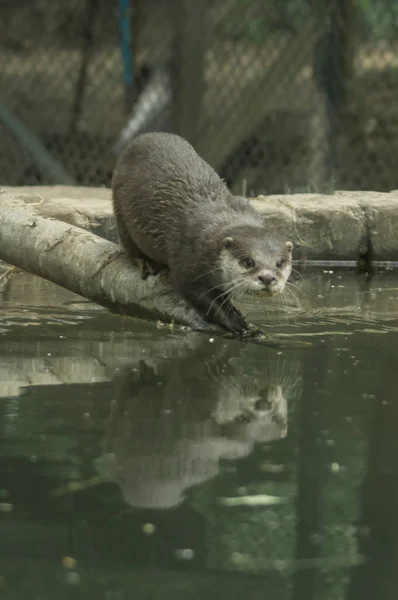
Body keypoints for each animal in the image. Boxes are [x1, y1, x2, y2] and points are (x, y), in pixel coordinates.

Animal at [112, 132, 292, 338]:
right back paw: (148, 264)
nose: (268, 278)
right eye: (248, 262)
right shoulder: (188, 260)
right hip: (120, 209)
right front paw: (237, 323)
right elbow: (198, 295)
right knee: (129, 245)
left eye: (279, 263)